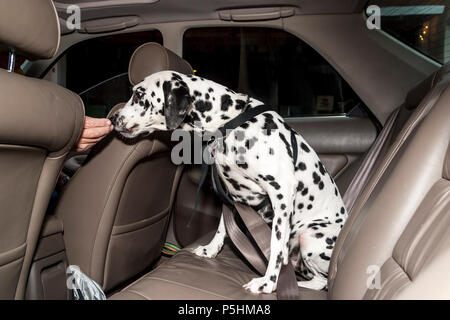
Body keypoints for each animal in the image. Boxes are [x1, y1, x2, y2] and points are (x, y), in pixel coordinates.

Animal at [111, 70, 348, 296]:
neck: (230, 122)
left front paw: (268, 283)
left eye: (138, 94)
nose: (113, 117)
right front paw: (210, 249)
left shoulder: (281, 193)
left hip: (311, 235)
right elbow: (222, 226)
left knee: (321, 281)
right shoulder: (232, 194)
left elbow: (276, 245)